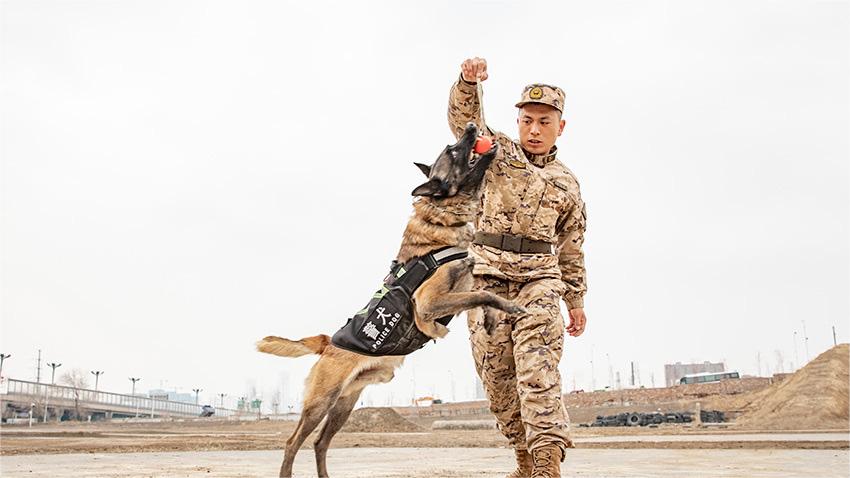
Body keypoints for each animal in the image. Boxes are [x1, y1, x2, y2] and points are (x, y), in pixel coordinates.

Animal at [256, 124, 524, 478]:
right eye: (452, 151)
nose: (470, 127)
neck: (442, 218)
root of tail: (327, 342)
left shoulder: (463, 281)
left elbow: (481, 291)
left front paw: (495, 318)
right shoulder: (427, 305)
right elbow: (482, 293)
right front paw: (509, 307)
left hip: (344, 405)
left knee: (319, 443)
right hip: (321, 402)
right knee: (292, 443)